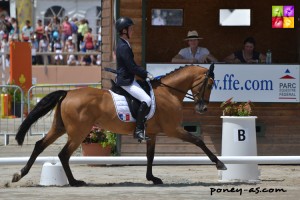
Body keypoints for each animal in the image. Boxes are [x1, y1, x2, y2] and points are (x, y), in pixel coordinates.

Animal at [12, 63, 227, 186]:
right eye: (209, 84)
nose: (202, 108)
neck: (169, 92)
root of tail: (68, 93)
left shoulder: (153, 133)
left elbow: (150, 156)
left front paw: (152, 178)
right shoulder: (173, 129)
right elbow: (199, 141)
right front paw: (220, 163)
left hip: (60, 127)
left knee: (40, 145)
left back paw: (19, 174)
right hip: (79, 132)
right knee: (63, 154)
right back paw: (74, 182)